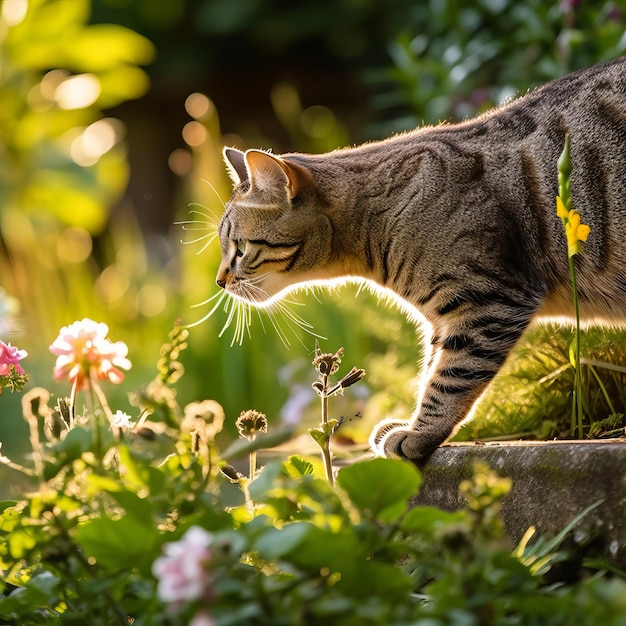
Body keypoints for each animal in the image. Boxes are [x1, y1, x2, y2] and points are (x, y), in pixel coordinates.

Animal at [214, 57, 624, 458]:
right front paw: (414, 425)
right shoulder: (445, 321)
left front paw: (419, 433)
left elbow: (451, 378)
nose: (219, 281)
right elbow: (432, 369)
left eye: (240, 248)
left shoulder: (489, 302)